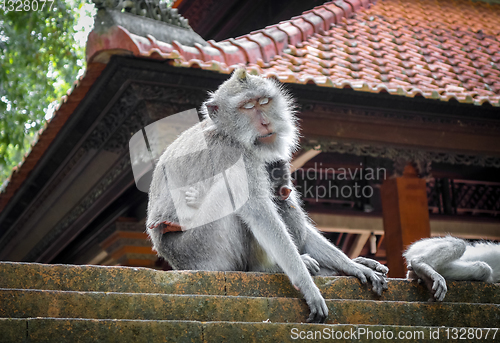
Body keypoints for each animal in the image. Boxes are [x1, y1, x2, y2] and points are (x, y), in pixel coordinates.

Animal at [146, 68, 388, 324]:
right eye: (247, 106)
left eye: (263, 101)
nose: (265, 122)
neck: (230, 134)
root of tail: (175, 262)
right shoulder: (235, 156)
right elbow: (261, 214)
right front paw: (308, 286)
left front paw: (352, 266)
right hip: (202, 250)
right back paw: (267, 268)